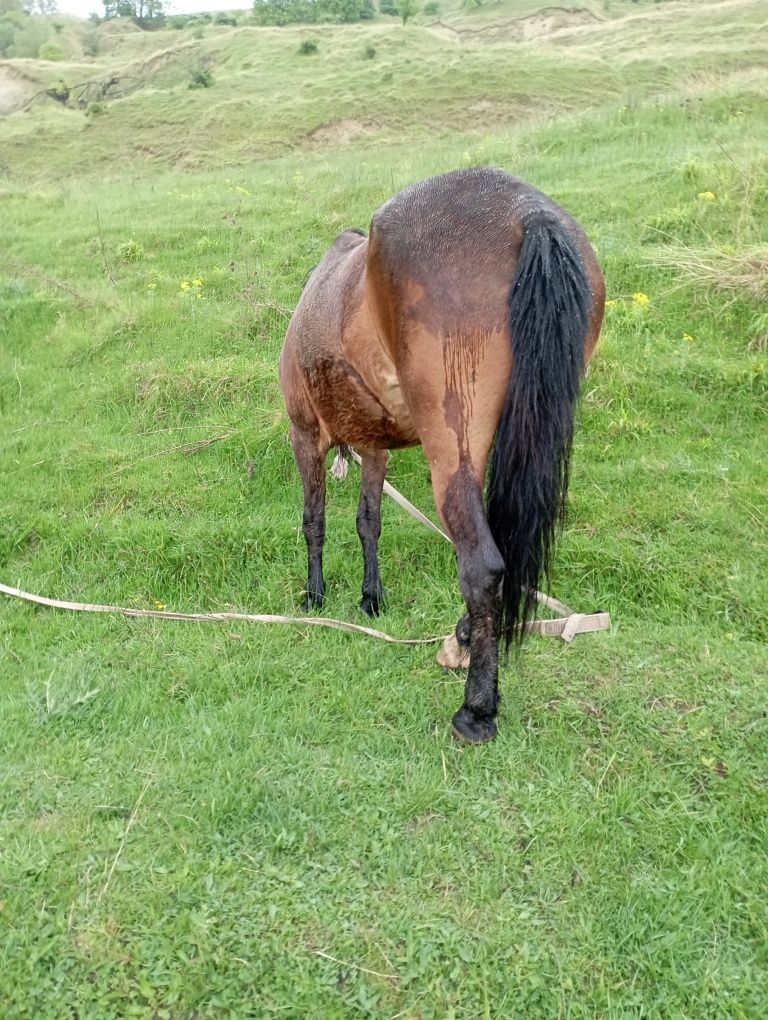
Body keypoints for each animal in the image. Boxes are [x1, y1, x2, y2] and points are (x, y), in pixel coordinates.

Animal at [279, 165, 603, 742]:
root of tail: (529, 214)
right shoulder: (375, 448)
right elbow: (368, 522)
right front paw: (371, 598)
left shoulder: (305, 436)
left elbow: (314, 520)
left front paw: (315, 596)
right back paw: (462, 642)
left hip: (451, 451)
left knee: (483, 566)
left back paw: (476, 709)